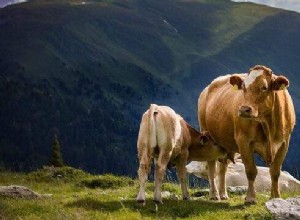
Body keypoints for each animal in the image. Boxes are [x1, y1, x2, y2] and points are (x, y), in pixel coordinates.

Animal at [199, 65, 296, 205]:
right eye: (243, 87)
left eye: (264, 87)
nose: (244, 110)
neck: (268, 125)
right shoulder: (244, 141)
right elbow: (251, 170)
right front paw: (250, 198)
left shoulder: (284, 142)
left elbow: (275, 171)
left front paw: (276, 197)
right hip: (207, 135)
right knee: (211, 167)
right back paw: (214, 195)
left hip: (225, 142)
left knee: (223, 167)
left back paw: (223, 194)